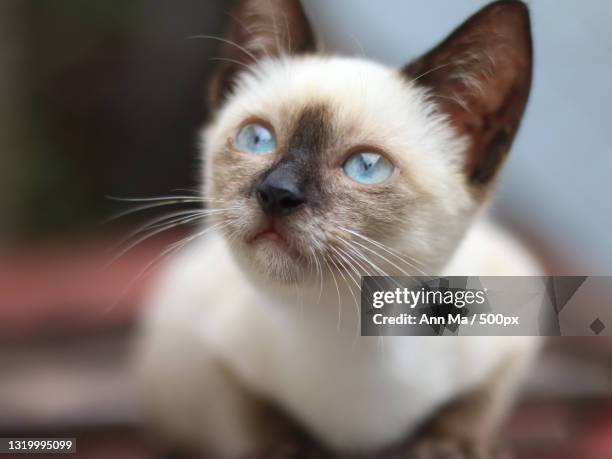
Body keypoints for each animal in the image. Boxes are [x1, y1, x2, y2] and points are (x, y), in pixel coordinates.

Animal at [136, 1, 544, 458]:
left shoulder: (515, 334)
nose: (277, 193)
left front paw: (447, 447)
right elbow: (258, 421)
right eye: (257, 138)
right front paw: (293, 448)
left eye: (366, 166)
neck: (345, 331)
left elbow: (472, 409)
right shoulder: (207, 358)